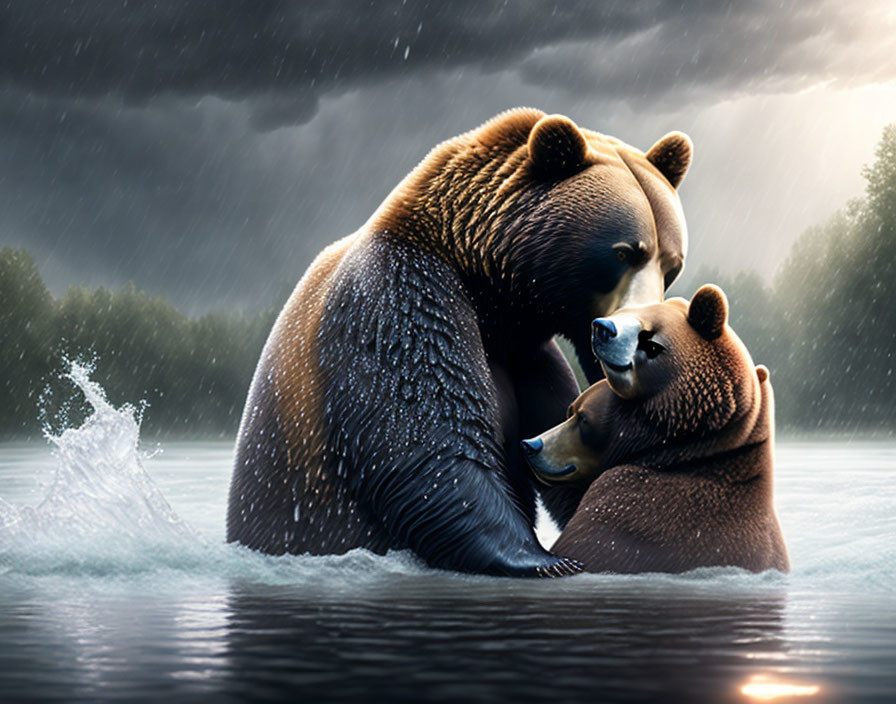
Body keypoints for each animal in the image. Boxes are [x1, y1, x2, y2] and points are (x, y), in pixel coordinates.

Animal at [226, 107, 692, 576]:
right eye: (624, 252)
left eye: (671, 262)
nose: (640, 329)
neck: (493, 297)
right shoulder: (401, 299)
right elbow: (427, 435)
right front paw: (543, 558)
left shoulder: (527, 357)